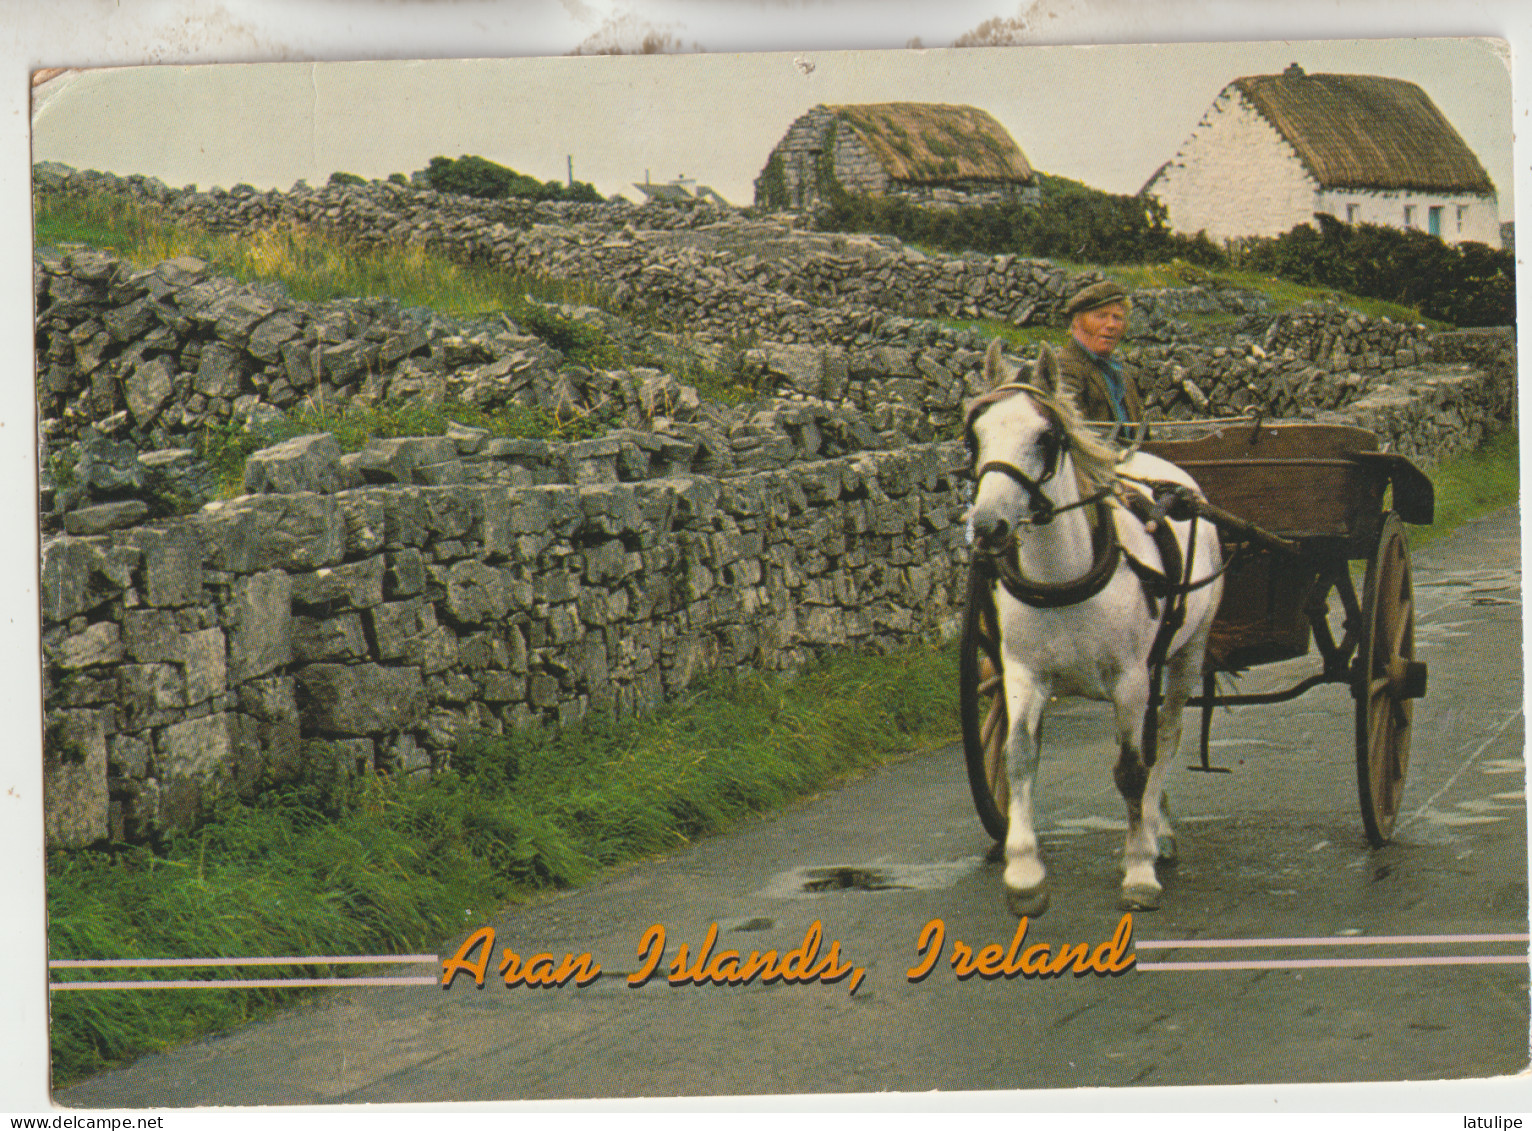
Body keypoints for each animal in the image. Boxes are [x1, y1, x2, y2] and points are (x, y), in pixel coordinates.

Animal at [974, 338, 1225, 913]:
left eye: (1045, 438)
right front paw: (1024, 873)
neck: (1063, 574)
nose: (986, 526)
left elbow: (1131, 771)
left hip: (1187, 653)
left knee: (1168, 735)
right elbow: (1018, 757)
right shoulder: (1022, 673)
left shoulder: (1129, 679)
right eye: (972, 432)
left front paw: (1139, 868)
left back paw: (1155, 830)